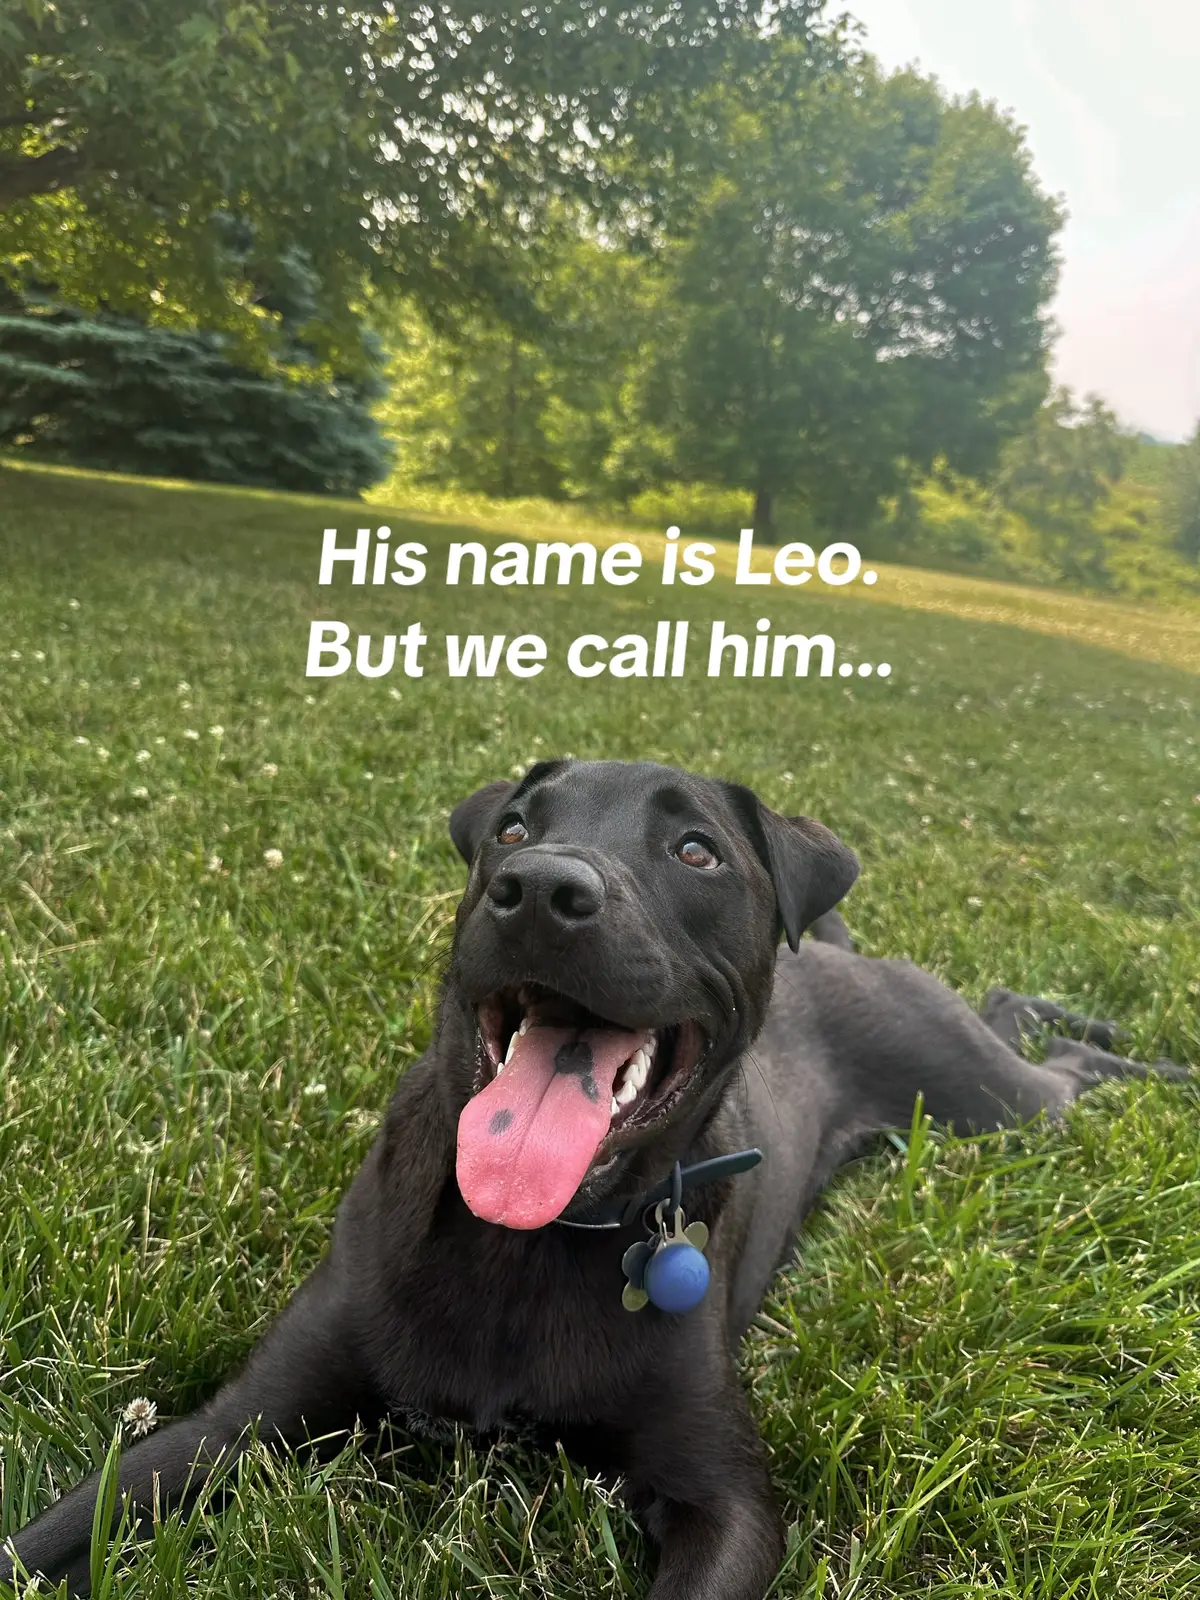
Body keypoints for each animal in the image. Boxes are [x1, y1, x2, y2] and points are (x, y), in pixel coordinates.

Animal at [0, 758, 1190, 1587]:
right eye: (514, 830)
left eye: (698, 852)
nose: (536, 888)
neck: (521, 1239)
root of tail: (839, 949)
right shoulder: (236, 1423)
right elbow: (54, 1532)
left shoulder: (728, 1502)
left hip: (995, 1105)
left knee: (1059, 1066)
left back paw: (1152, 1063)